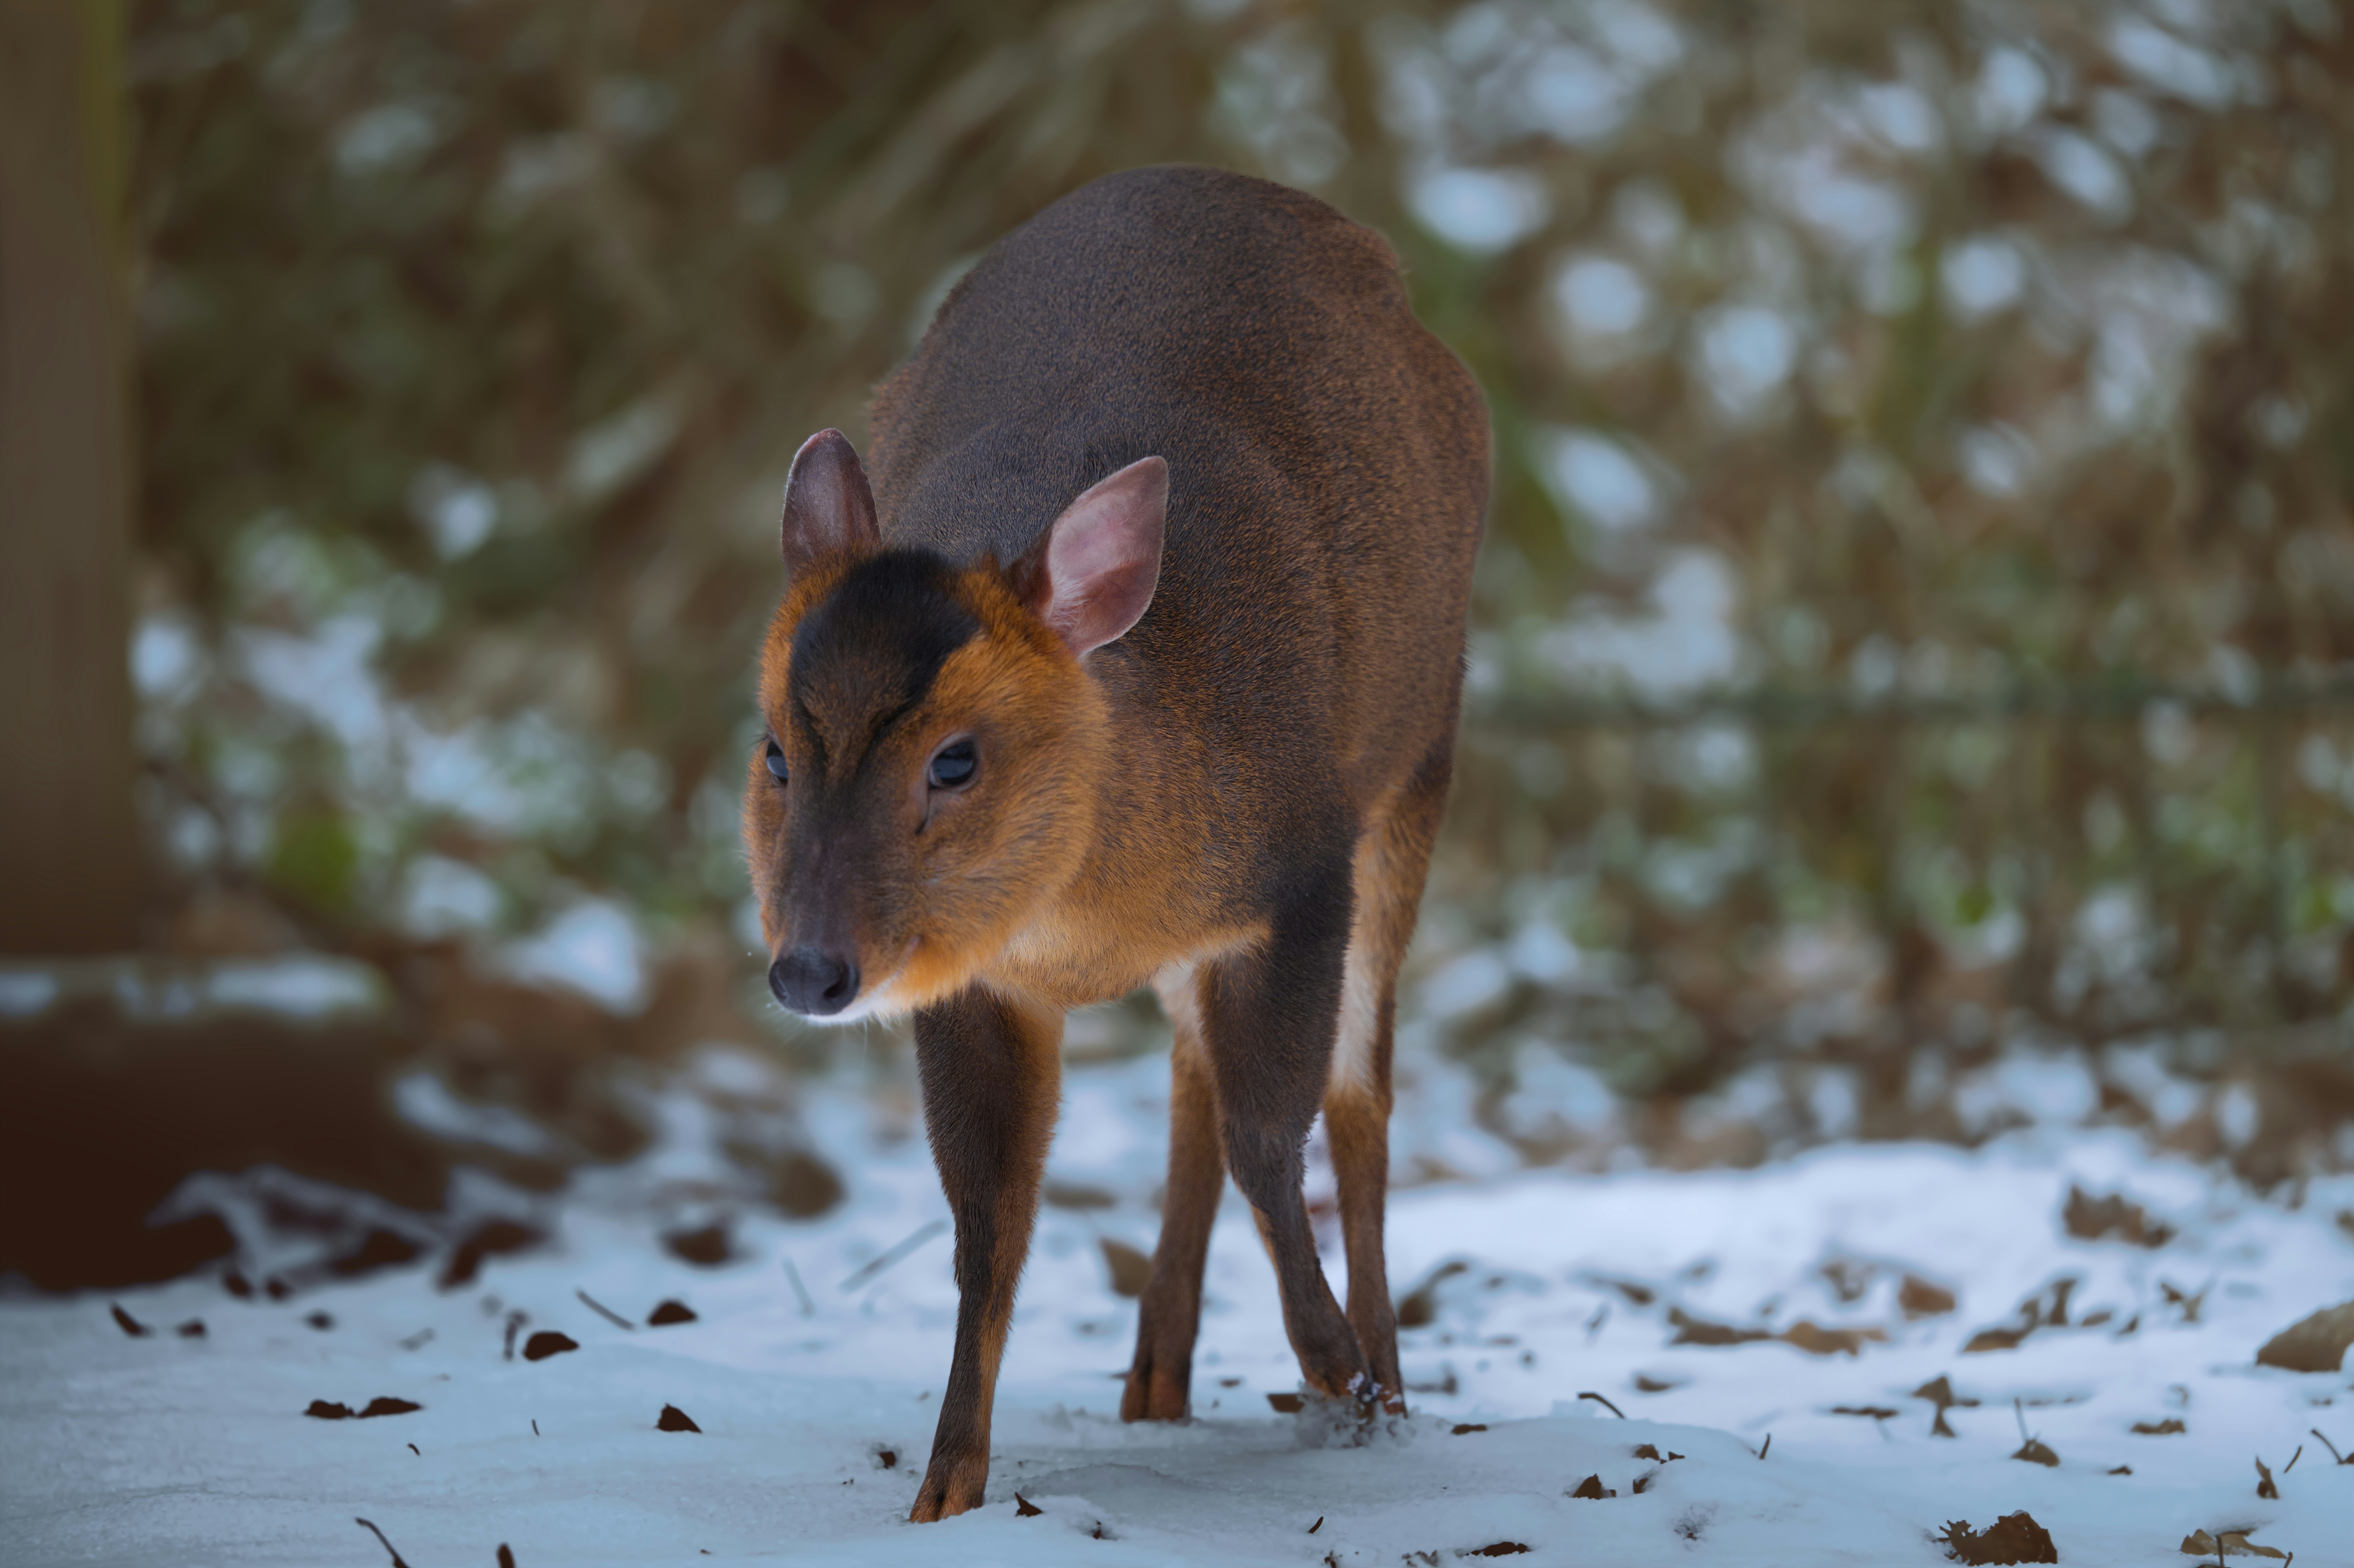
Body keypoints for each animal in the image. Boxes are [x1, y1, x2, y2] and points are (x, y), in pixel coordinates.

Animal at [743, 165, 1487, 1522]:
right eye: (777, 749)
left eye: (955, 757)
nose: (810, 970)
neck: (1082, 916)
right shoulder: (973, 976)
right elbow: (988, 1220)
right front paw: (943, 1492)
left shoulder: (1300, 873)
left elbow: (1275, 1133)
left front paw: (1341, 1377)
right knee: (1193, 1070)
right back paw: (1156, 1379)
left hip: (1419, 764)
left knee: (1358, 1098)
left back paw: (1386, 1381)